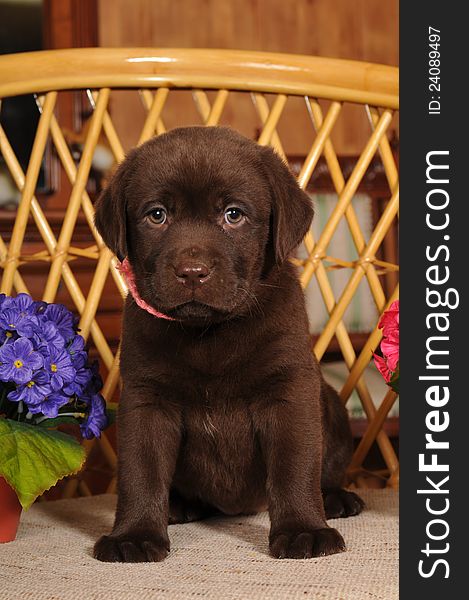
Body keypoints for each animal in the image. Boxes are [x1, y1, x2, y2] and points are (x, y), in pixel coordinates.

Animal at [91, 126, 362, 564]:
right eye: (157, 215)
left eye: (233, 214)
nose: (192, 272)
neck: (209, 333)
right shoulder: (147, 399)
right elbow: (140, 471)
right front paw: (133, 535)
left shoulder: (289, 391)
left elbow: (294, 466)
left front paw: (303, 529)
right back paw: (179, 506)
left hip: (332, 406)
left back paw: (336, 498)